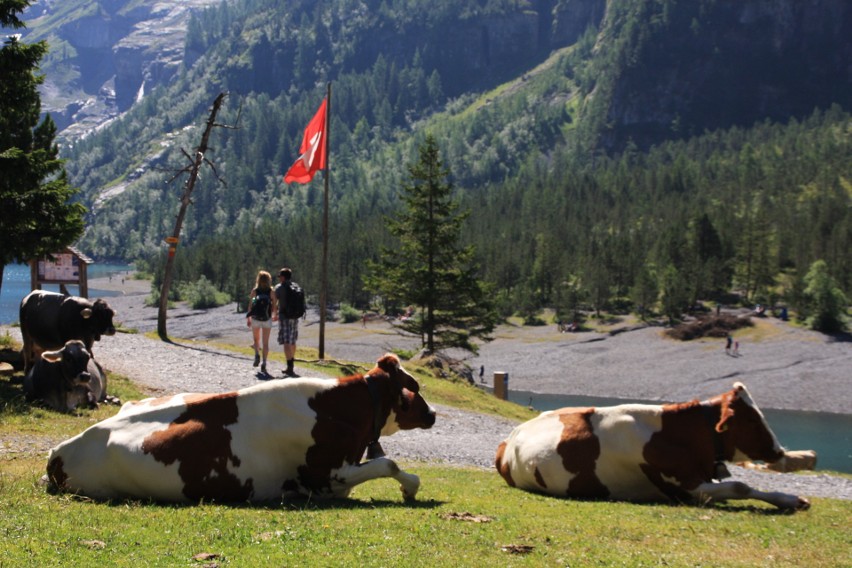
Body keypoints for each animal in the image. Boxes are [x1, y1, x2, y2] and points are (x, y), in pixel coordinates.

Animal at [44, 352, 436, 504]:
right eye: (414, 388)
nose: (433, 413)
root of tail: (58, 451)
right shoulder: (326, 478)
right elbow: (389, 463)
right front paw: (411, 488)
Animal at [496, 382, 816, 510]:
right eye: (751, 419)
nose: (779, 452)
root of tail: (513, 434)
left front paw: (792, 499)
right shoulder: (687, 488)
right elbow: (740, 486)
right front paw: (788, 500)